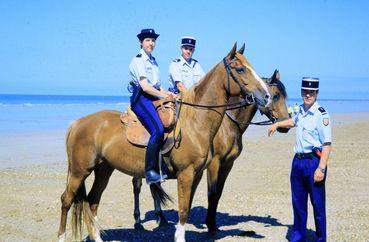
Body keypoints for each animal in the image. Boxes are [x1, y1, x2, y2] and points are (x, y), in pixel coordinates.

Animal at [57, 44, 270, 242]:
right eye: (240, 69)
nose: (266, 95)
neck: (194, 122)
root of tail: (78, 123)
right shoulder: (186, 174)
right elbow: (183, 211)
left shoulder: (197, 175)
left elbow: (187, 208)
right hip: (79, 171)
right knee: (67, 200)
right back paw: (61, 236)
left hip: (104, 169)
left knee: (93, 200)